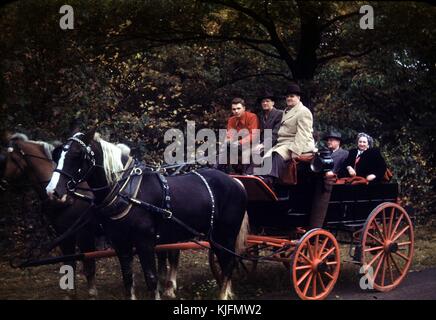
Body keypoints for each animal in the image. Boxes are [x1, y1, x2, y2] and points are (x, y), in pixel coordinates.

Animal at [46, 130, 249, 300]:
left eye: (76, 155)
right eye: (58, 155)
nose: (52, 191)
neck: (125, 191)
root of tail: (236, 182)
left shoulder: (144, 242)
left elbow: (151, 278)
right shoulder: (121, 243)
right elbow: (128, 278)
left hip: (226, 234)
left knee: (228, 263)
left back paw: (223, 296)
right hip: (214, 236)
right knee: (225, 262)